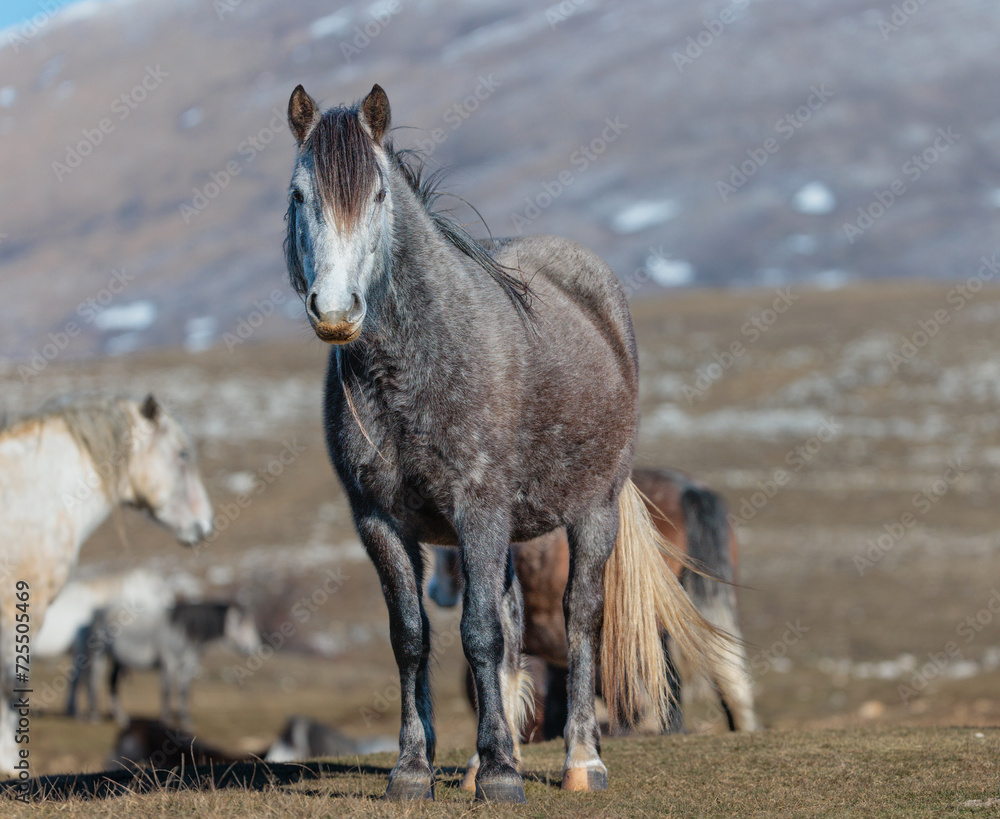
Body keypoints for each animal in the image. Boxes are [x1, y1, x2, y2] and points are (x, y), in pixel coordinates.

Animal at [0, 393, 213, 774]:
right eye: (183, 454)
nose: (205, 523)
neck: (38, 495)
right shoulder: (21, 608)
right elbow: (12, 684)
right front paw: (9, 761)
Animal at [68, 600, 261, 729]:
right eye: (244, 626)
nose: (255, 648)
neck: (183, 631)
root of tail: (97, 611)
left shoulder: (187, 665)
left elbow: (184, 692)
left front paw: (186, 721)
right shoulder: (169, 663)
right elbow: (167, 692)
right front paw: (166, 720)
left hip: (117, 660)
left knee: (112, 683)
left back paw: (121, 718)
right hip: (98, 655)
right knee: (93, 682)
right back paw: (95, 717)